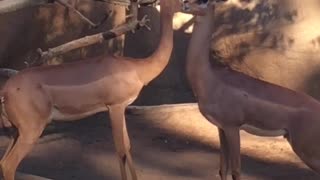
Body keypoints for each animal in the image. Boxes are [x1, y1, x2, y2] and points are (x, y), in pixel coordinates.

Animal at [0, 0, 176, 179]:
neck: (136, 68)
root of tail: (5, 90)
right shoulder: (115, 106)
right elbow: (120, 150)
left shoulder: (122, 107)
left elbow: (128, 146)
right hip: (31, 130)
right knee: (8, 165)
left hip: (16, 130)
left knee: (2, 162)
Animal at [181, 0, 320, 180]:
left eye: (204, 2)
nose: (185, 6)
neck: (211, 80)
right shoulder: (221, 127)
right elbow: (222, 168)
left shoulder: (232, 127)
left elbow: (236, 170)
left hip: (306, 149)